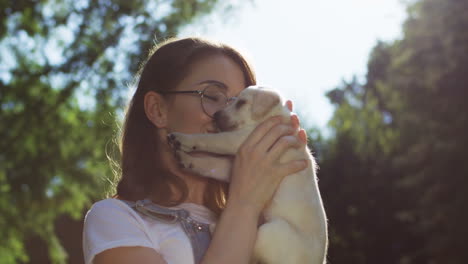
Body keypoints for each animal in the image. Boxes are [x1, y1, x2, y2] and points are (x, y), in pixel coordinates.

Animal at [169, 85, 330, 262]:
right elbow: (210, 163)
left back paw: (214, 227)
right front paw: (187, 160)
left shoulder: (238, 139)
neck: (272, 116)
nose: (215, 115)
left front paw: (183, 139)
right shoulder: (230, 165)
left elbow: (211, 140)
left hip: (271, 231)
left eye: (241, 103)